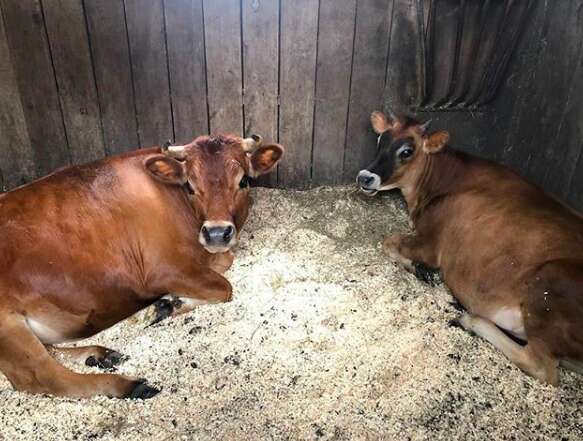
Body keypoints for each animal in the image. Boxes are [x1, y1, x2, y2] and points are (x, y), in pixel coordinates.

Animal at [0, 132, 286, 398]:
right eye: (189, 185)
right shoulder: (163, 271)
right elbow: (225, 287)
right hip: (9, 325)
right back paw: (127, 384)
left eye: (243, 180)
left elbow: (224, 264)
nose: (216, 234)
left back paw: (100, 354)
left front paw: (170, 304)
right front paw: (168, 305)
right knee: (40, 375)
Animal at [356, 111, 583, 384]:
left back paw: (471, 320)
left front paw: (420, 269)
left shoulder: (431, 244)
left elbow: (388, 242)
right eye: (380, 140)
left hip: (548, 286)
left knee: (541, 367)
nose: (365, 177)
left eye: (407, 151)